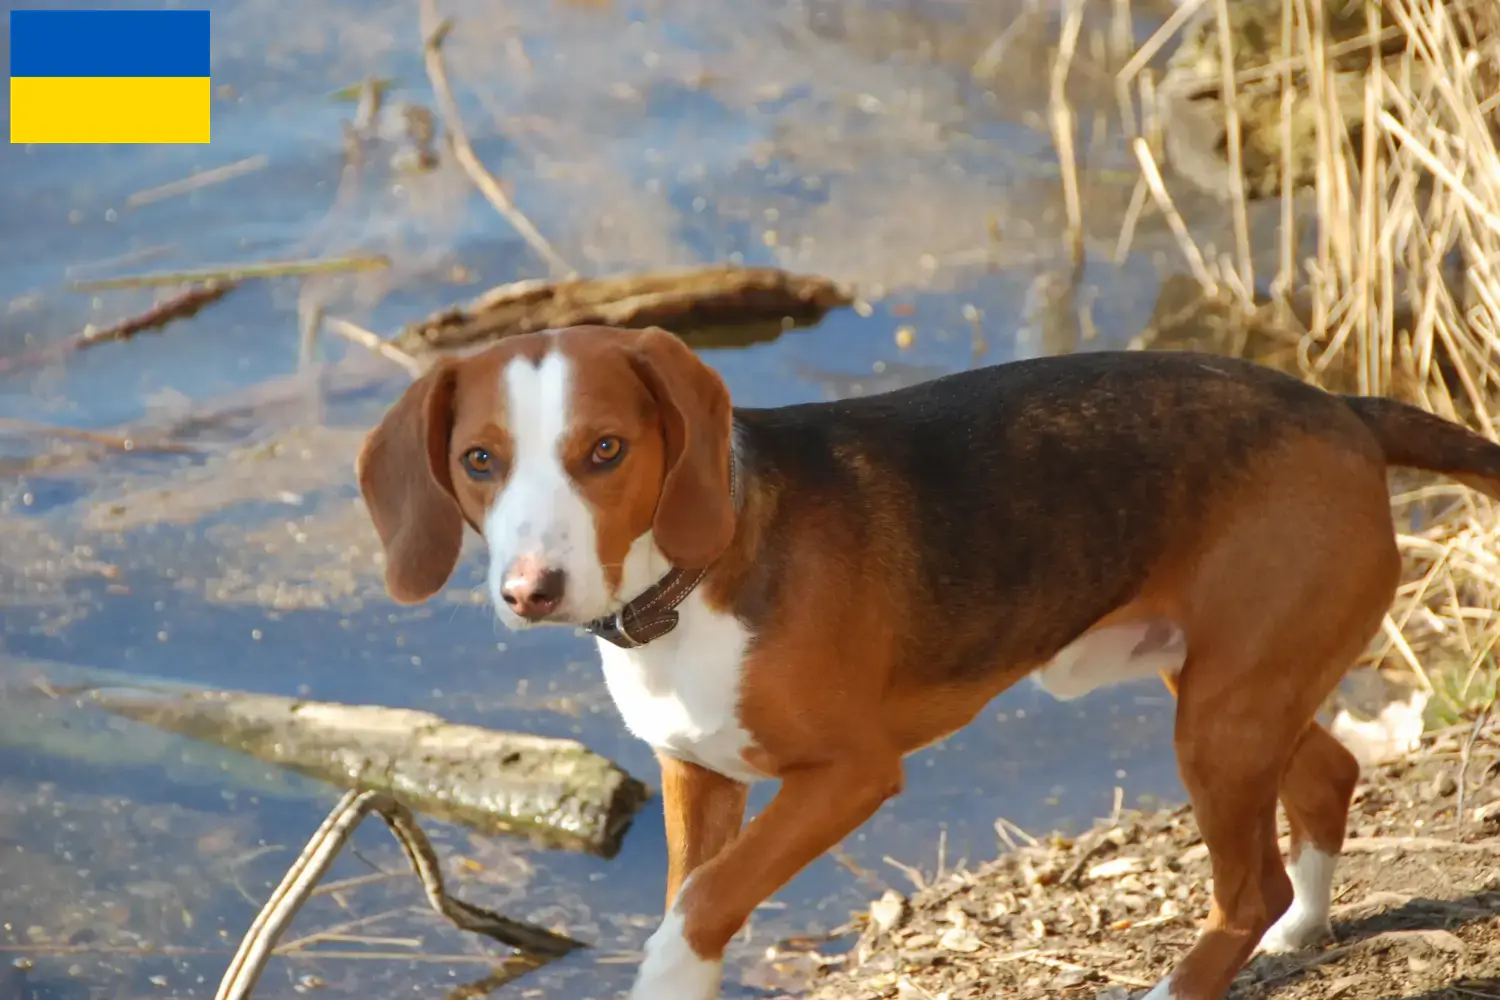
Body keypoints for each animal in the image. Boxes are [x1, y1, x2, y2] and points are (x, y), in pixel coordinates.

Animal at [354, 325, 1500, 995]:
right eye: (479, 461)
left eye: (605, 451)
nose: (531, 590)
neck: (690, 584)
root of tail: (1341, 409)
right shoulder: (698, 775)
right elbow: (696, 889)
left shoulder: (850, 777)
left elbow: (702, 906)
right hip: (1228, 689)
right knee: (1331, 775)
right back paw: (1303, 929)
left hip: (1219, 722)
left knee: (1246, 884)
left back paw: (1199, 972)